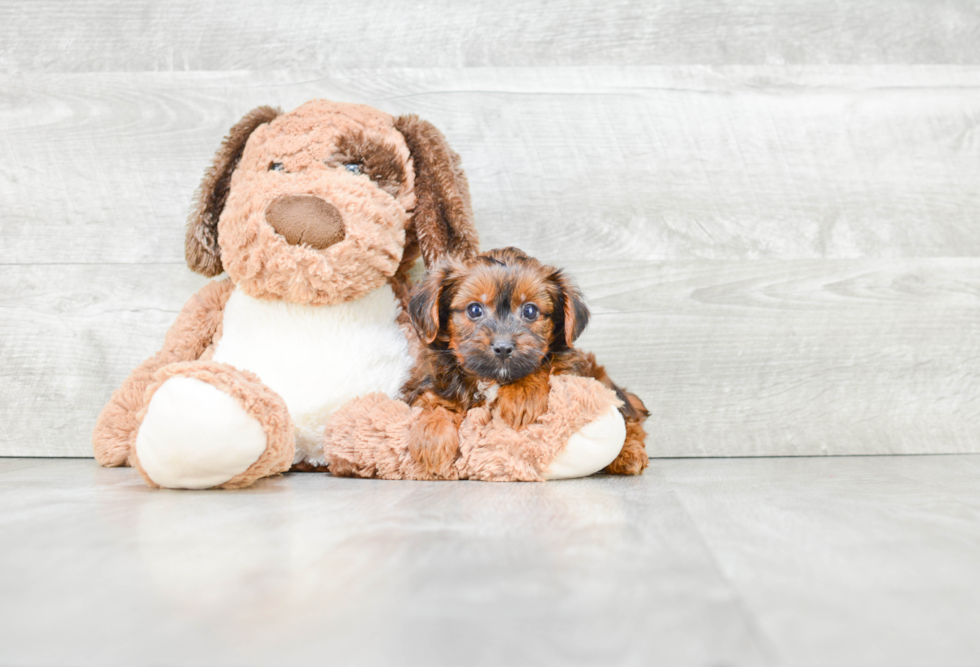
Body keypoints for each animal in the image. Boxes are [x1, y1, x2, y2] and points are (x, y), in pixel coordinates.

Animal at [402, 248, 648, 478]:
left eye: (530, 311)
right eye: (474, 309)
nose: (503, 347)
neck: (490, 380)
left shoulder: (570, 368)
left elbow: (546, 365)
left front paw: (521, 394)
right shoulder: (429, 381)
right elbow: (433, 401)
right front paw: (432, 434)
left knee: (631, 421)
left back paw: (629, 454)